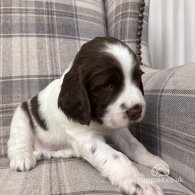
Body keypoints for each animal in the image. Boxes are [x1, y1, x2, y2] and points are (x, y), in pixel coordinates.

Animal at [7, 37, 169, 195]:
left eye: (136, 79)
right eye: (108, 85)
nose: (136, 111)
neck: (97, 119)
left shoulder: (118, 128)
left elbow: (134, 145)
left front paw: (154, 161)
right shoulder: (85, 137)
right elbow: (116, 157)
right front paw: (140, 183)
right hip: (21, 116)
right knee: (17, 142)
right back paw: (23, 157)